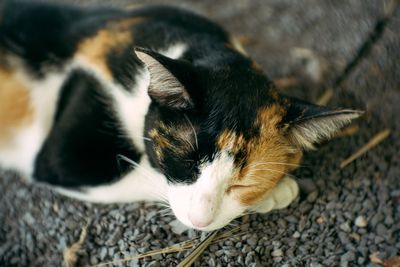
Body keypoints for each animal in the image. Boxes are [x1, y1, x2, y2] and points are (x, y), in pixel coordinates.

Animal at [0, 1, 362, 231]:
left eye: (244, 182)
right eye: (184, 163)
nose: (200, 221)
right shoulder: (65, 159)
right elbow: (145, 173)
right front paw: (278, 192)